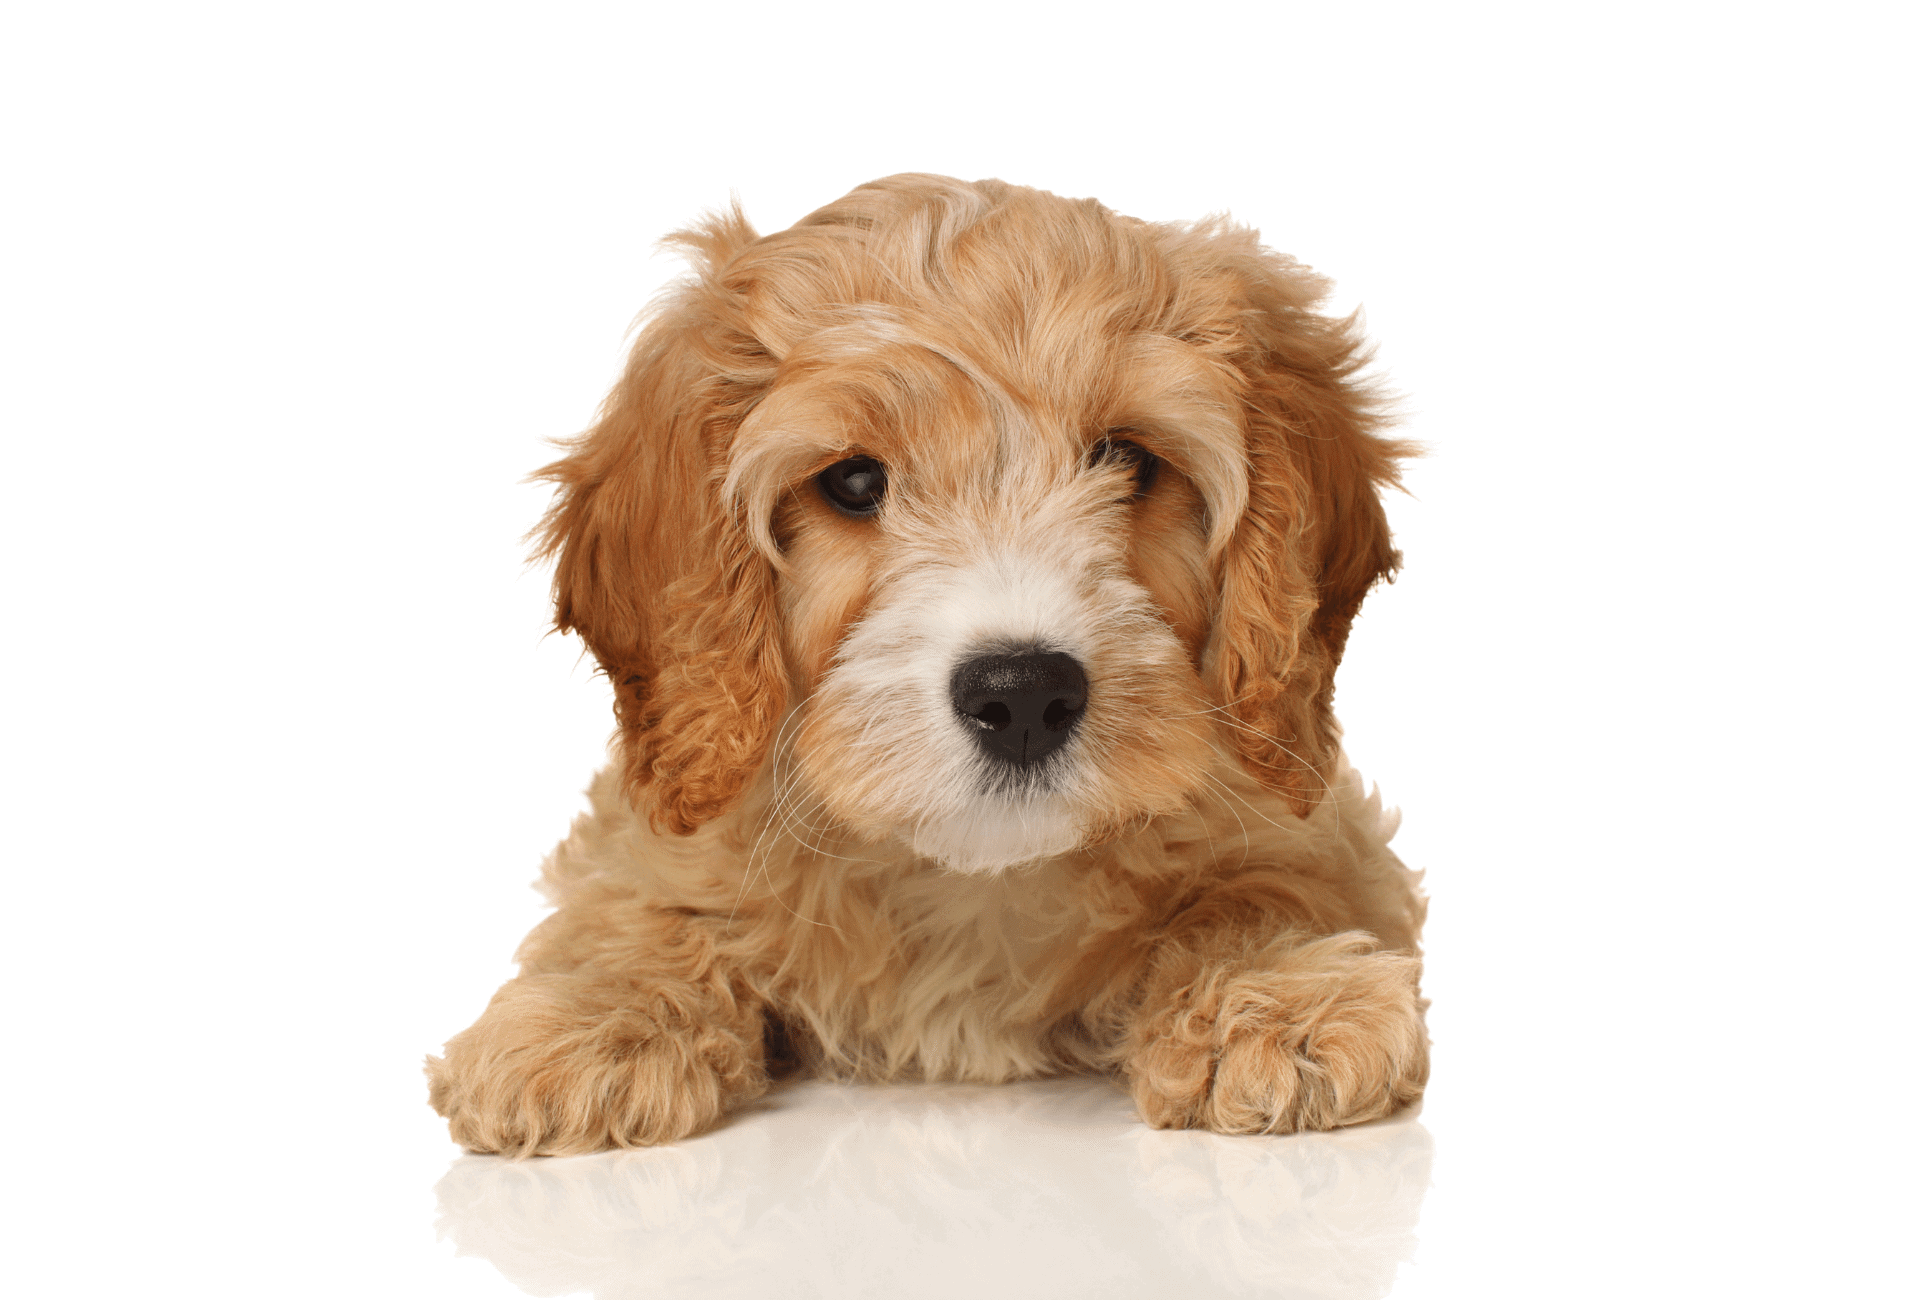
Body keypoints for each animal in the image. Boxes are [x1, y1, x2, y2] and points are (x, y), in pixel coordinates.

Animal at [432, 174, 1428, 1159]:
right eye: (853, 483)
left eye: (1128, 460)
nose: (1023, 693)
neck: (968, 879)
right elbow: (636, 902)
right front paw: (595, 1015)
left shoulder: (1316, 820)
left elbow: (1264, 881)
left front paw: (1278, 992)